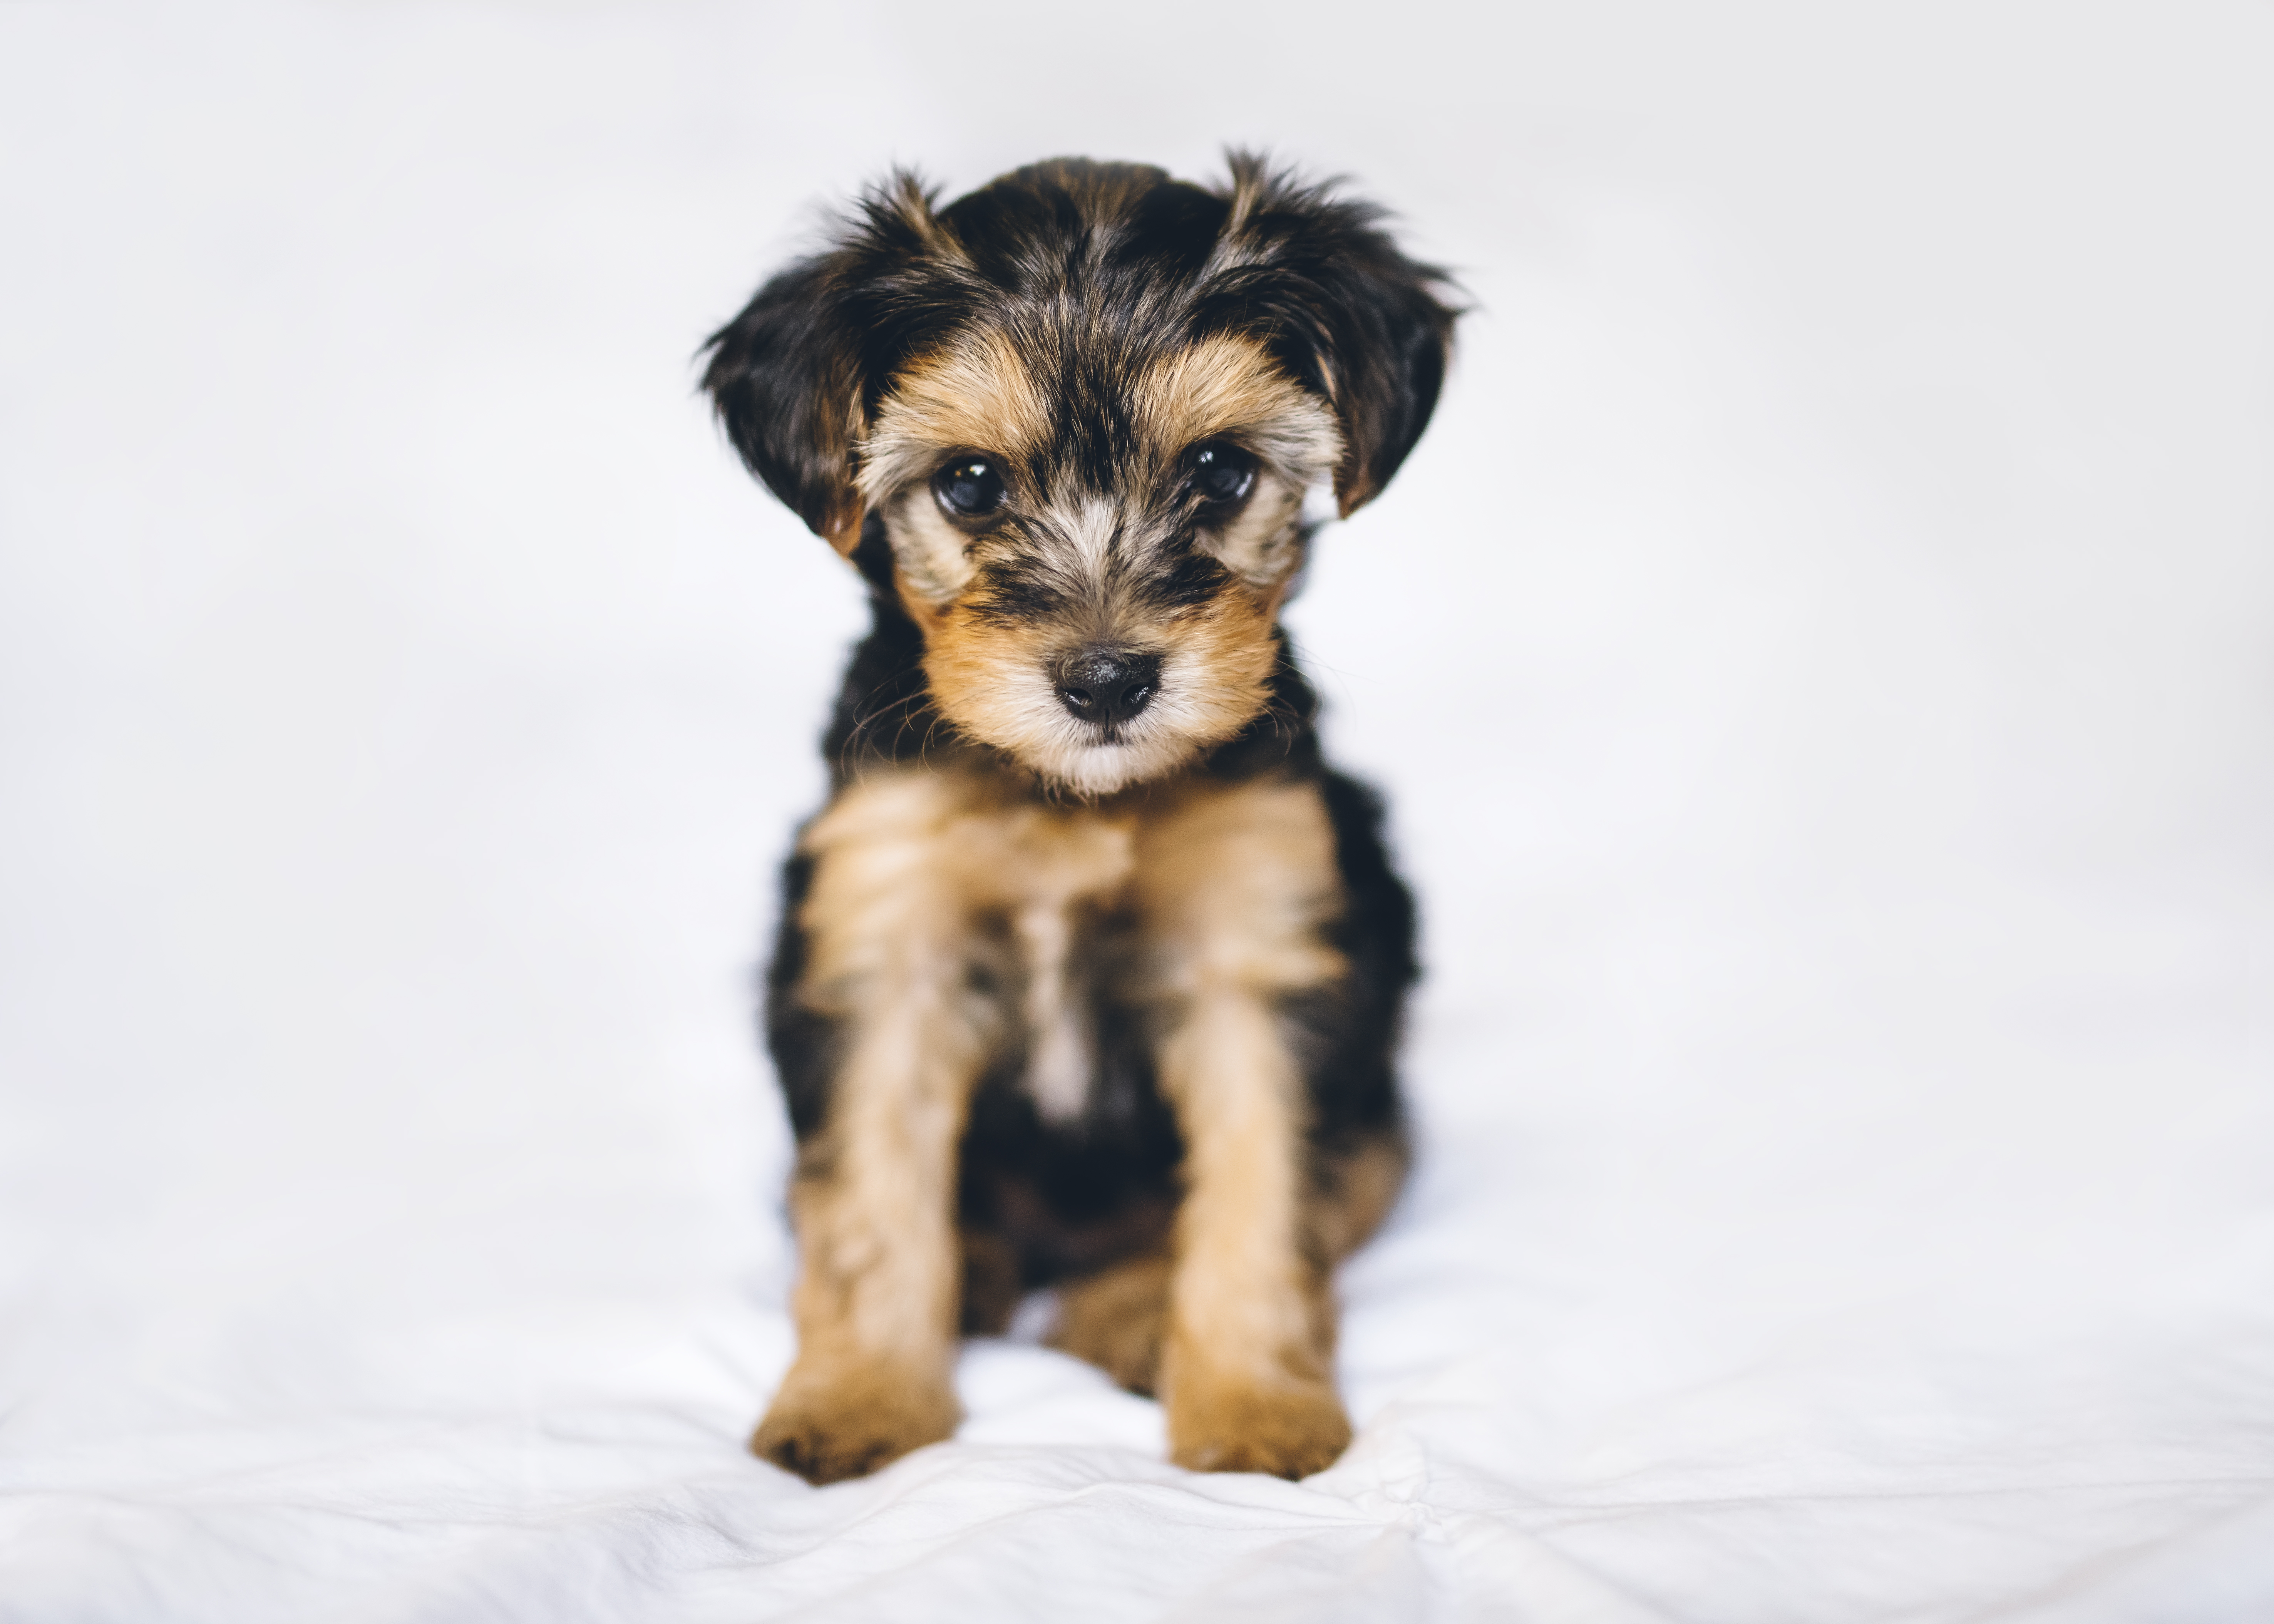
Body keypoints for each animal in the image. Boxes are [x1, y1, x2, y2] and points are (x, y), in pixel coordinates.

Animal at [700, 154, 1464, 1483]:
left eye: (1218, 471)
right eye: (969, 483)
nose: (1107, 679)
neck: (1065, 796)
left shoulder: (1256, 947)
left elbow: (1265, 1194)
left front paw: (1254, 1410)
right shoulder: (887, 941)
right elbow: (866, 1201)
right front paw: (859, 1400)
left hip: (1383, 1113)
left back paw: (1129, 1307)